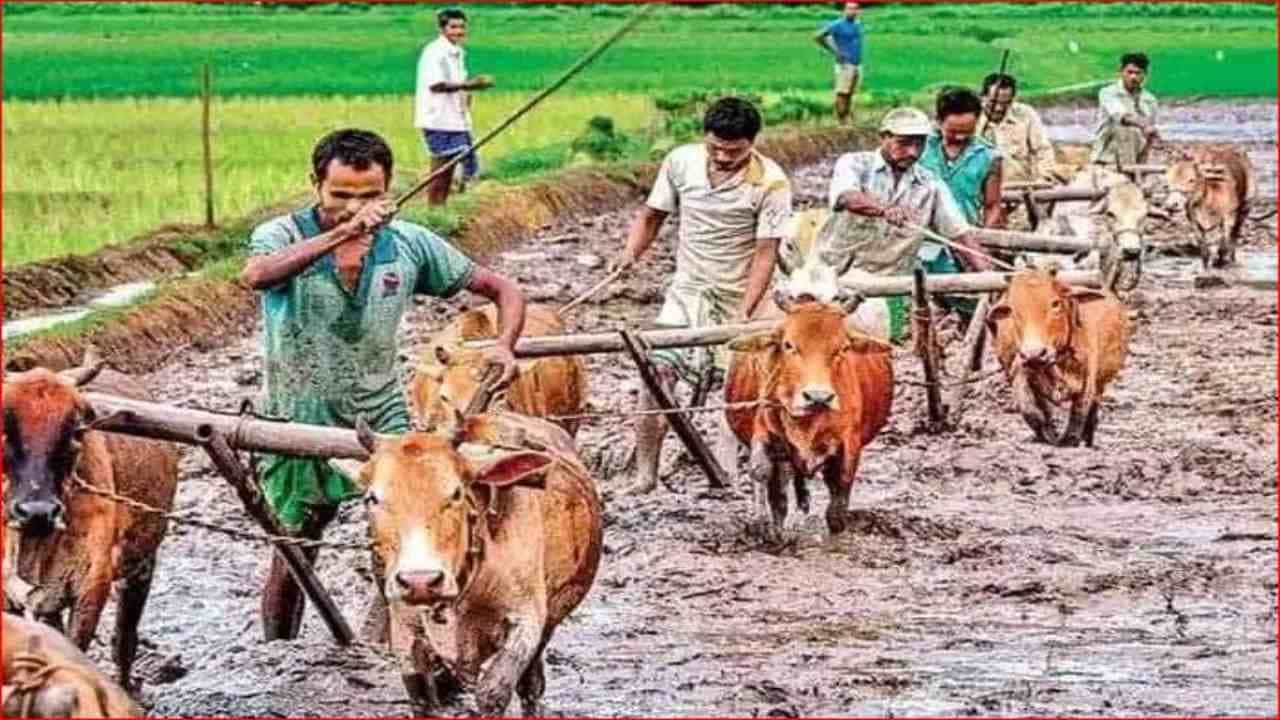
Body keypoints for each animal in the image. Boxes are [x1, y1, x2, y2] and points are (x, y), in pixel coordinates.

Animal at [2, 361, 179, 691]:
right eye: (5, 427)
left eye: (75, 431)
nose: (37, 512)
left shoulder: (91, 586)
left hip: (142, 564)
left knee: (124, 639)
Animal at [329, 410, 602, 717]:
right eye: (372, 498)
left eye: (457, 493)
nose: (420, 581)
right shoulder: (404, 624)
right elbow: (421, 696)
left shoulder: (526, 621)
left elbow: (493, 692)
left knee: (531, 686)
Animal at [722, 267, 895, 541]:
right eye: (788, 345)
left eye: (843, 348)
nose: (818, 397)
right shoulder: (766, 432)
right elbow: (762, 473)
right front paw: (767, 528)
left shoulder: (848, 446)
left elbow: (837, 503)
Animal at [987, 269, 1132, 447]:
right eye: (1013, 310)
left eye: (1055, 304)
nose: (1035, 354)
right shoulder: (1019, 369)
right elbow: (1031, 412)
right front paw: (1046, 432)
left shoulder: (1088, 384)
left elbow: (1077, 421)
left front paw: (1071, 439)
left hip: (1101, 383)